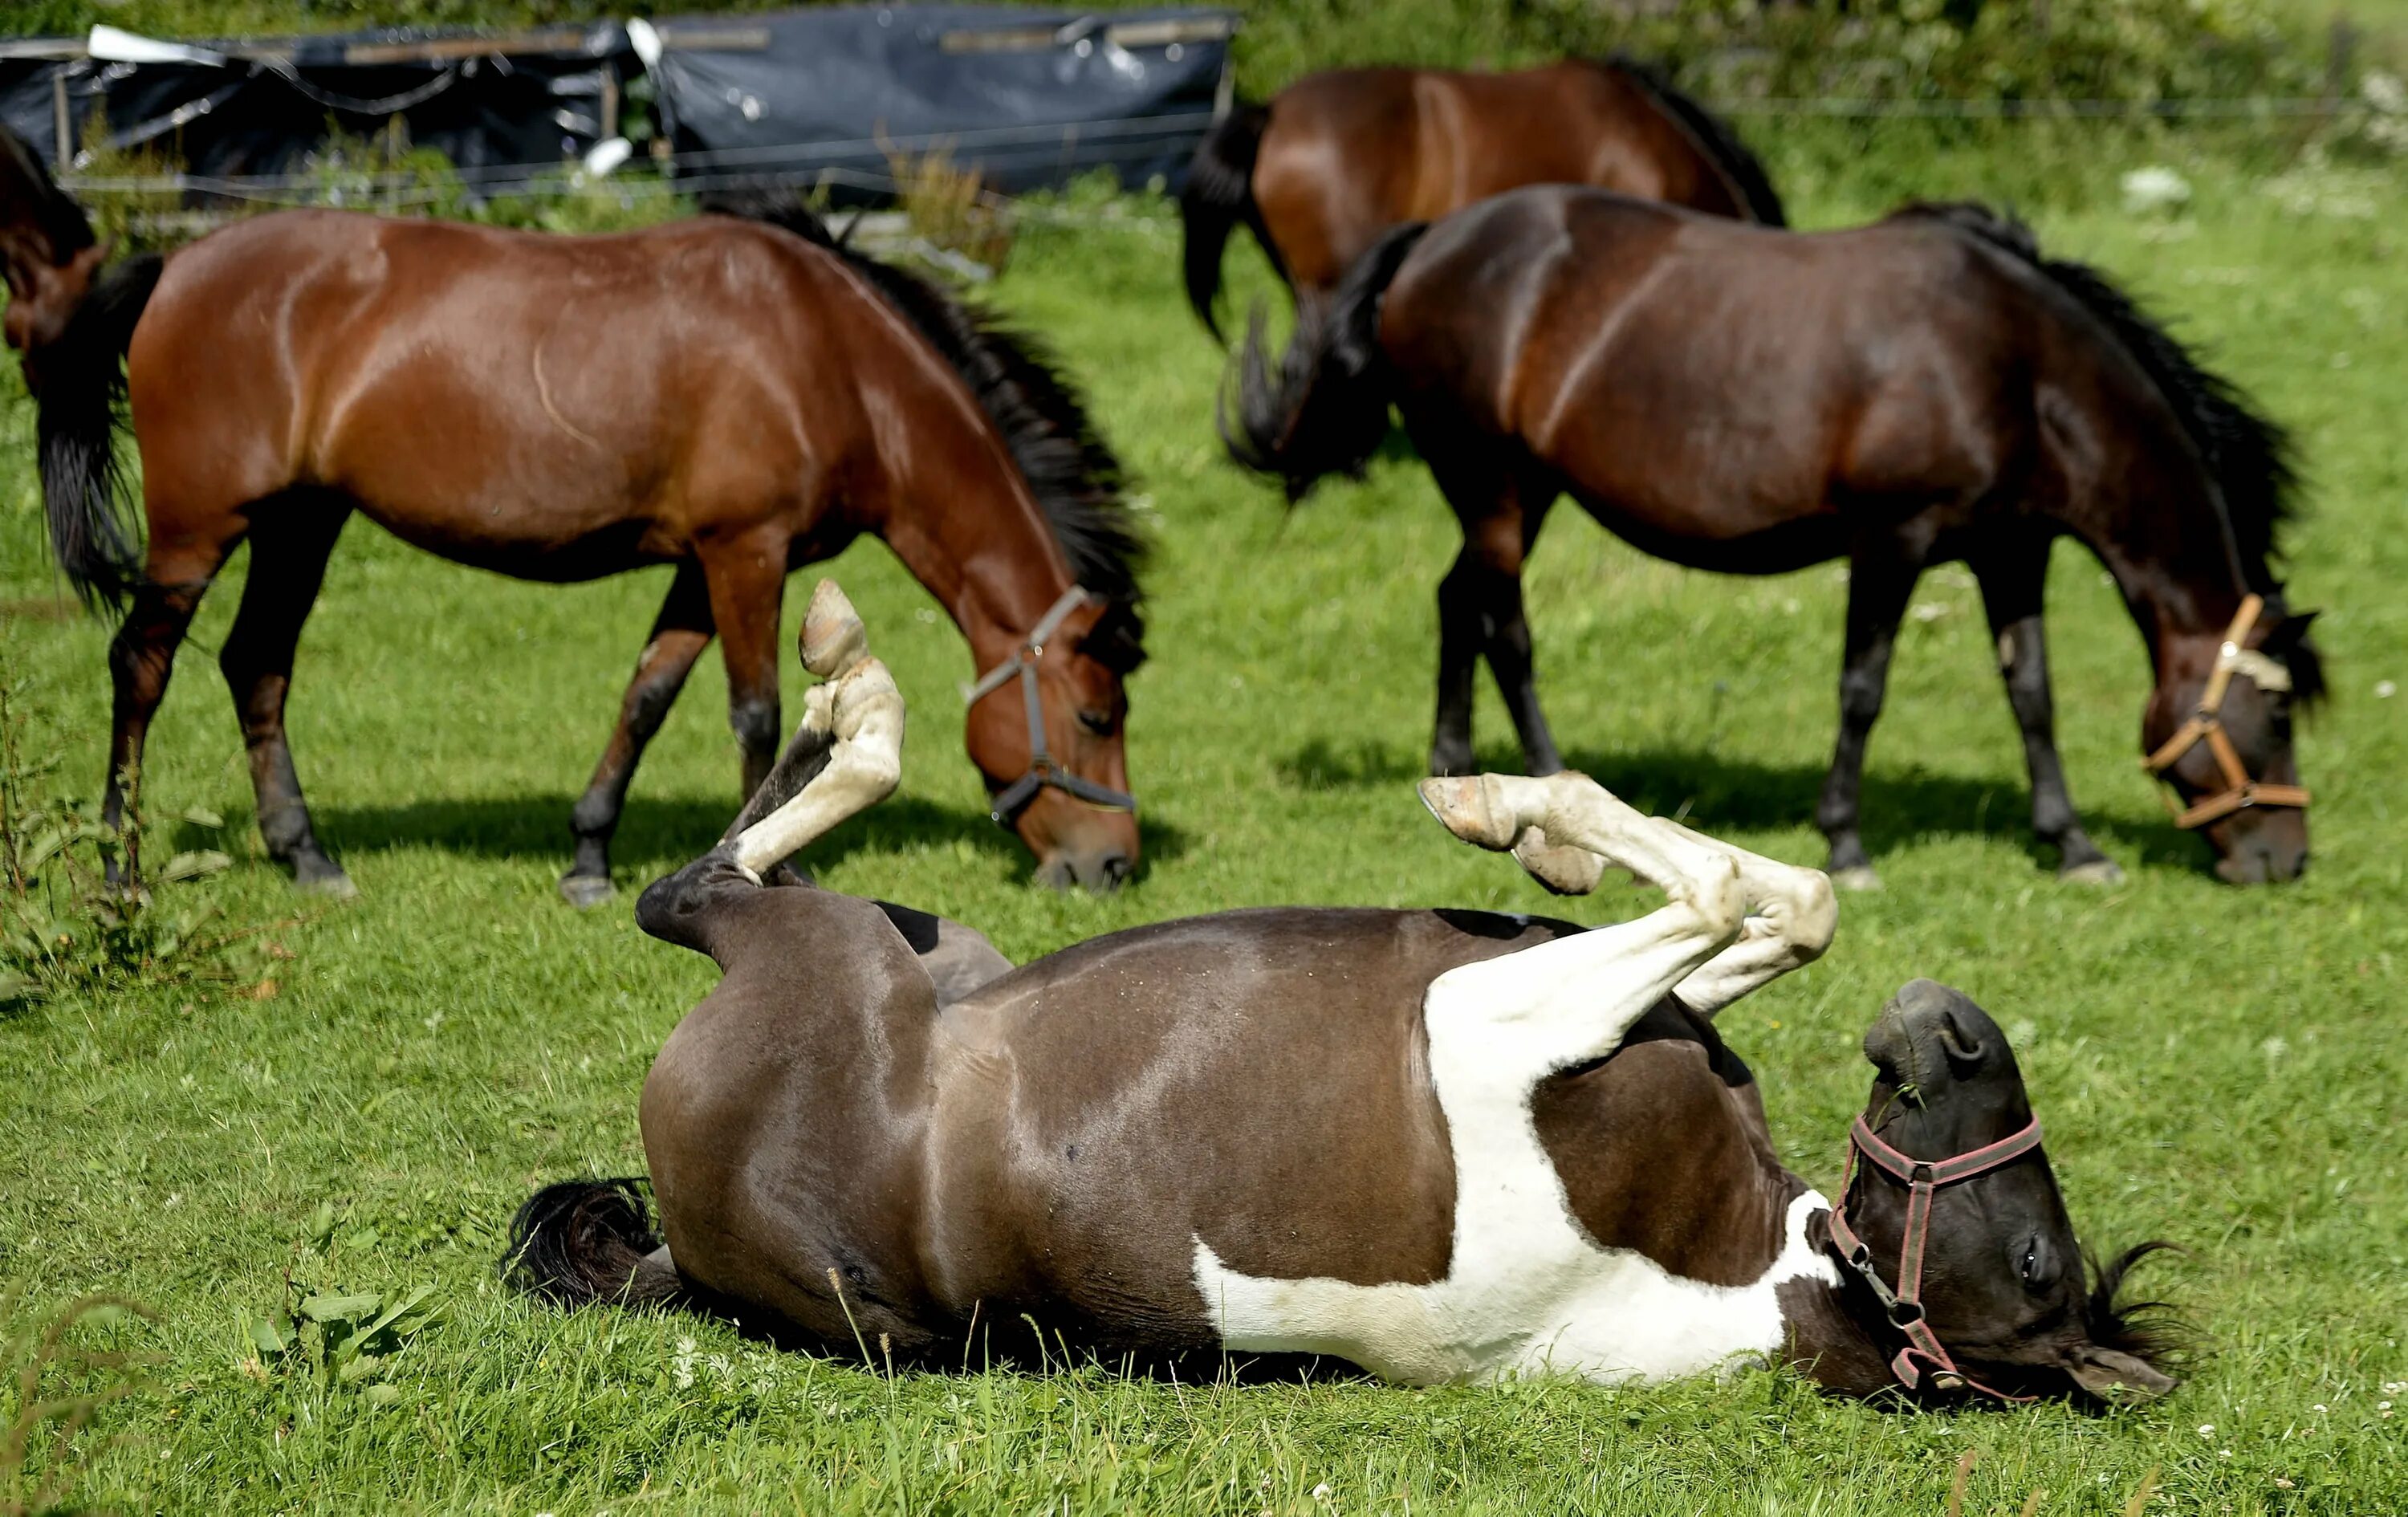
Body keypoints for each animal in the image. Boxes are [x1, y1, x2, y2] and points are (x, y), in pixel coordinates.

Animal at [2, 140, 1146, 905]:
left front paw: (589, 855)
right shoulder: (747, 553)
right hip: (201, 531)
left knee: (256, 663)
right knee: (143, 667)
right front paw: (780, 863)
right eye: (1098, 717)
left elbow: (646, 695)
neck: (834, 358)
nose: (1113, 865)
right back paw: (119, 867)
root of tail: (175, 266)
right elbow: (759, 717)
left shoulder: (701, 563)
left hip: (302, 522)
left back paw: (307, 855)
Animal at [513, 585, 2186, 1416]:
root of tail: (686, 1254)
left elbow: (1726, 891)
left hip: (821, 962)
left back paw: (849, 681)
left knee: (702, 886)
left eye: (2034, 1260)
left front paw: (1495, 800)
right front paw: (1528, 826)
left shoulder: (1489, 1031)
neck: (1730, 1267)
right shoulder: (1582, 1000)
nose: (1951, 1024)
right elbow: (1782, 905)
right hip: (943, 948)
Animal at [1233, 184, 2321, 886]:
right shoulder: (1894, 540)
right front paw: (1847, 842)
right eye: (2273, 716)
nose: (2284, 860)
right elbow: (1863, 692)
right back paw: (1563, 790)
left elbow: (2034, 697)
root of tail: (1429, 244)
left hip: (1516, 494)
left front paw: (2073, 845)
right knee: (1505, 625)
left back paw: (1458, 761)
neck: (2011, 359)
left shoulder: (2013, 551)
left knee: (1459, 601)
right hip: (1495, 487)